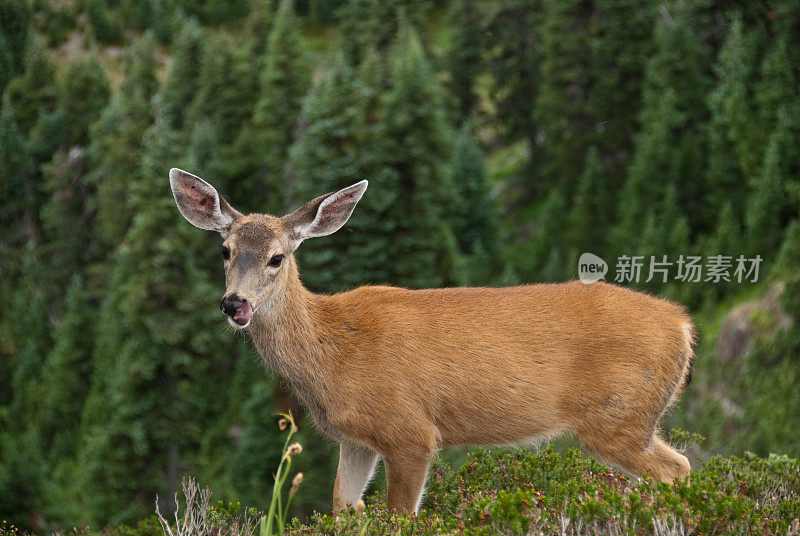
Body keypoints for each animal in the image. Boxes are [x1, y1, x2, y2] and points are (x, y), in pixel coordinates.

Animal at [167, 168, 692, 516]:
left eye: (277, 257)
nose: (234, 304)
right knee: (683, 467)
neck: (331, 353)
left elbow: (401, 515)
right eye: (225, 250)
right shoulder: (356, 440)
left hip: (617, 414)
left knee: (675, 473)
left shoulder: (410, 430)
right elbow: (343, 508)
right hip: (632, 418)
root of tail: (684, 326)